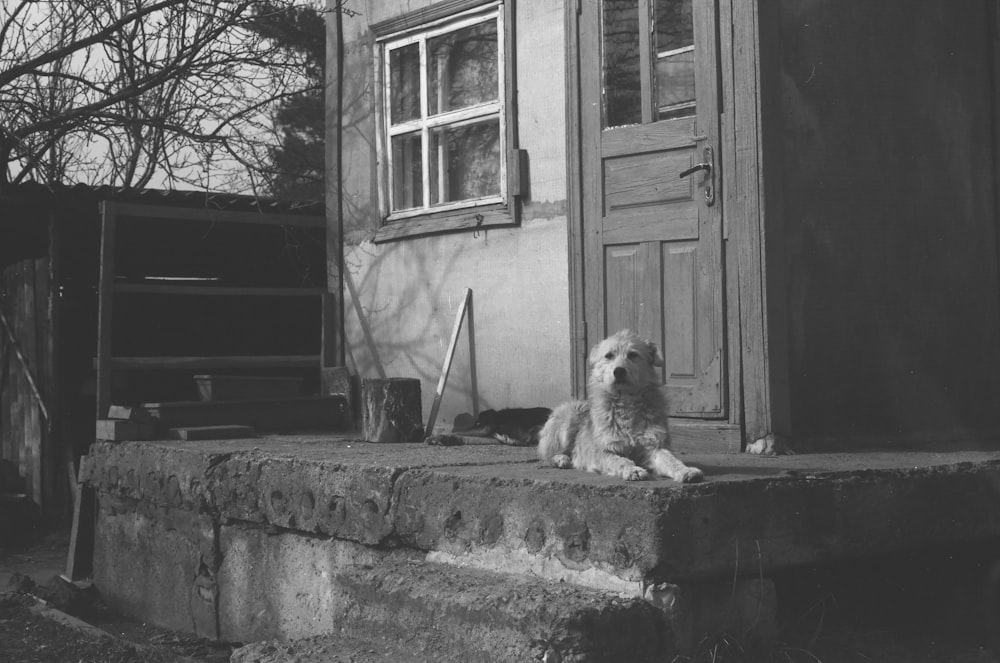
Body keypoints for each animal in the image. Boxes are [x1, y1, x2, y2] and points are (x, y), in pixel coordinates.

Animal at [540, 330, 704, 482]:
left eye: (632, 354)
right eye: (608, 356)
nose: (618, 371)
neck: (626, 403)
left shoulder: (653, 446)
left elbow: (671, 460)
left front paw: (686, 470)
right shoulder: (602, 451)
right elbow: (620, 460)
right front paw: (633, 470)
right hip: (570, 415)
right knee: (548, 454)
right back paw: (560, 459)